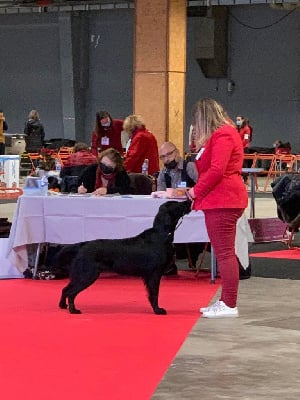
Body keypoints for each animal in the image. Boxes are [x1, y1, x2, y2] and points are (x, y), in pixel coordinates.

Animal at [57, 202, 191, 314]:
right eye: (177, 204)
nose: (189, 201)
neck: (162, 235)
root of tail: (82, 245)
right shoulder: (154, 273)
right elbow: (154, 294)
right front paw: (158, 310)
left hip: (83, 274)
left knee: (65, 289)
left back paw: (63, 306)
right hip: (87, 275)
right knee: (71, 292)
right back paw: (73, 310)